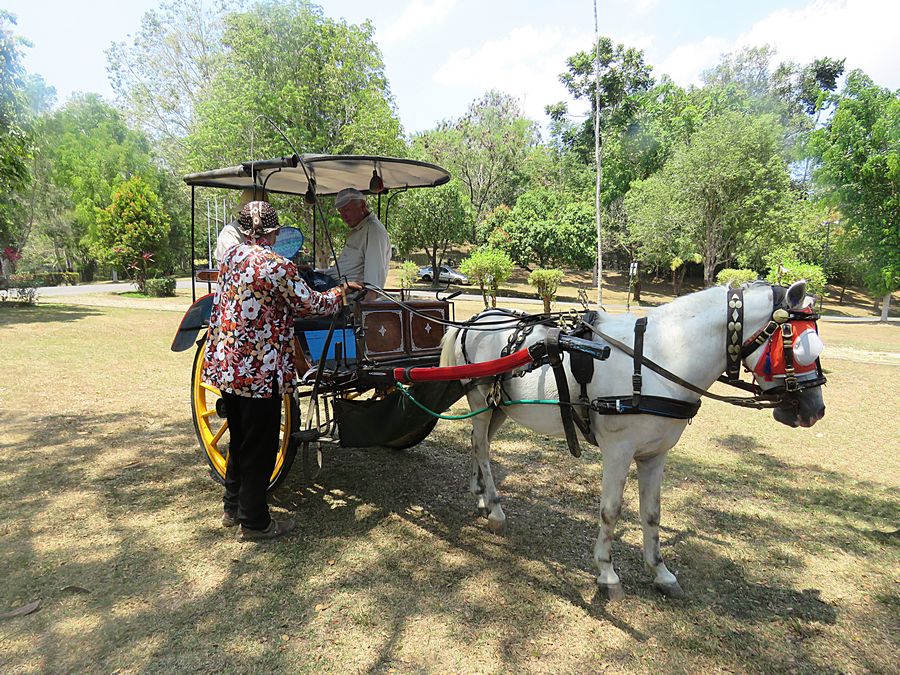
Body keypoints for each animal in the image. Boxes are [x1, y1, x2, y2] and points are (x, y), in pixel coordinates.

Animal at [440, 280, 828, 596]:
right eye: (795, 346)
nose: (815, 411)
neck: (657, 357)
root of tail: (476, 321)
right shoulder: (618, 451)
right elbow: (611, 510)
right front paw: (607, 572)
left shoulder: (654, 454)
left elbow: (652, 513)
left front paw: (661, 572)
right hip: (480, 401)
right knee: (482, 448)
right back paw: (495, 508)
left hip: (499, 407)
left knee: (478, 444)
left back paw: (481, 496)